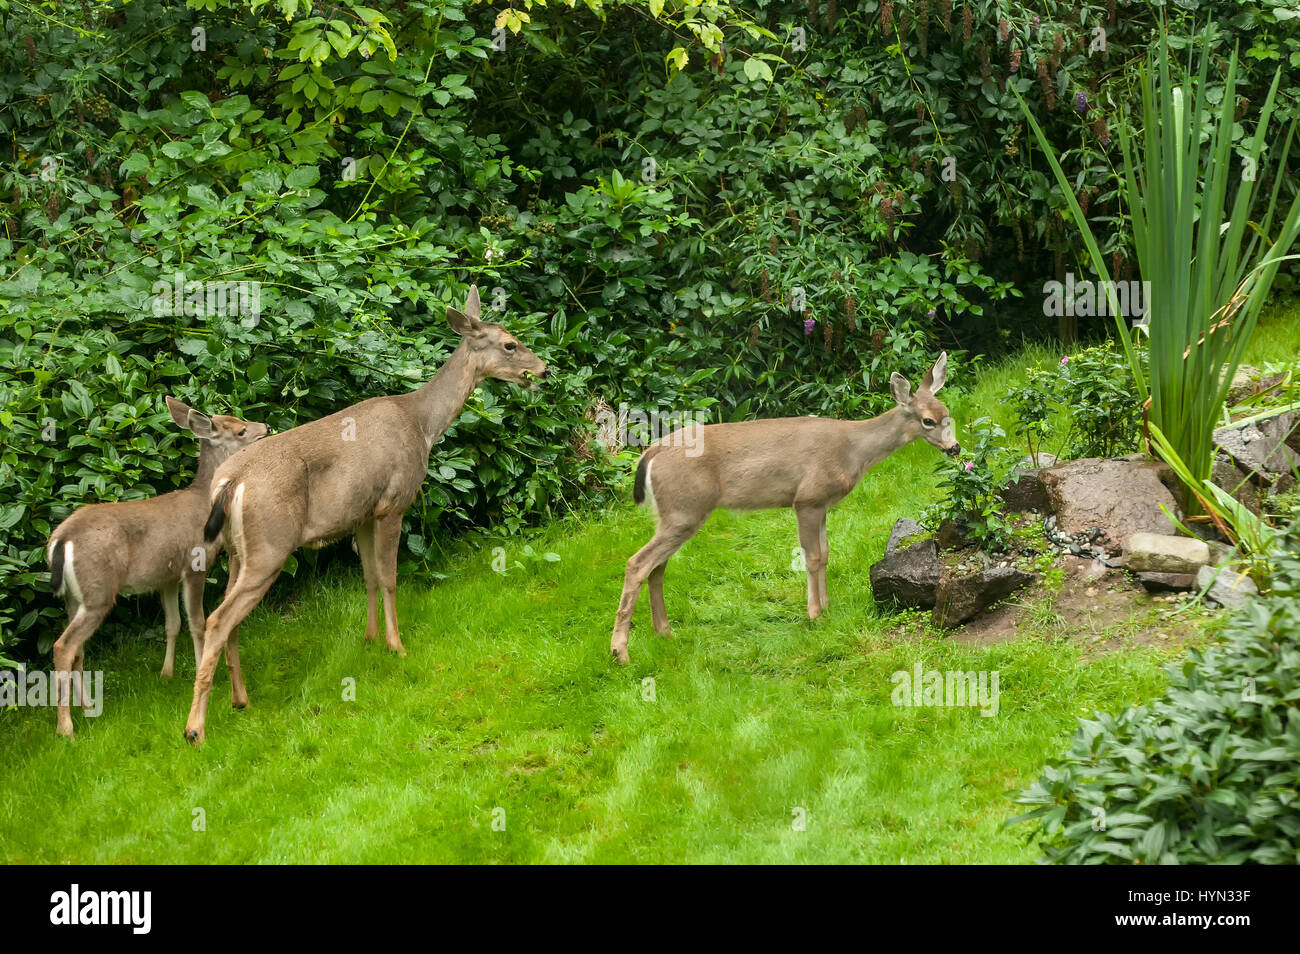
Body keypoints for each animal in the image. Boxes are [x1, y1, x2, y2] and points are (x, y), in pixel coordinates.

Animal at [46, 395, 269, 738]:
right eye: (241, 430)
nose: (266, 427)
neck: (203, 501)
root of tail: (60, 540)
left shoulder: (166, 576)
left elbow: (172, 624)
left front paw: (167, 673)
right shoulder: (194, 564)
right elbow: (197, 622)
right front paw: (203, 669)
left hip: (74, 597)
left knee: (77, 649)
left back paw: (86, 707)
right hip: (98, 591)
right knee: (63, 646)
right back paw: (66, 728)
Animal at [183, 283, 548, 748]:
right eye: (509, 344)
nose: (544, 370)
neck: (423, 423)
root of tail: (230, 482)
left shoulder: (362, 514)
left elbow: (370, 577)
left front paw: (371, 638)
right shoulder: (394, 501)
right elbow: (390, 577)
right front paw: (397, 645)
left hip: (237, 551)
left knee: (227, 620)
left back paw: (240, 700)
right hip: (269, 545)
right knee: (217, 620)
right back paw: (196, 729)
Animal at [605, 353, 956, 665]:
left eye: (947, 412)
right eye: (928, 420)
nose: (955, 448)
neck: (853, 451)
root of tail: (649, 454)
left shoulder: (822, 503)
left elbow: (825, 554)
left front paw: (826, 606)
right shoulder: (807, 498)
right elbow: (812, 558)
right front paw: (815, 615)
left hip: (673, 514)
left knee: (657, 566)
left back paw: (664, 633)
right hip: (685, 509)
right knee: (637, 563)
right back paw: (620, 652)